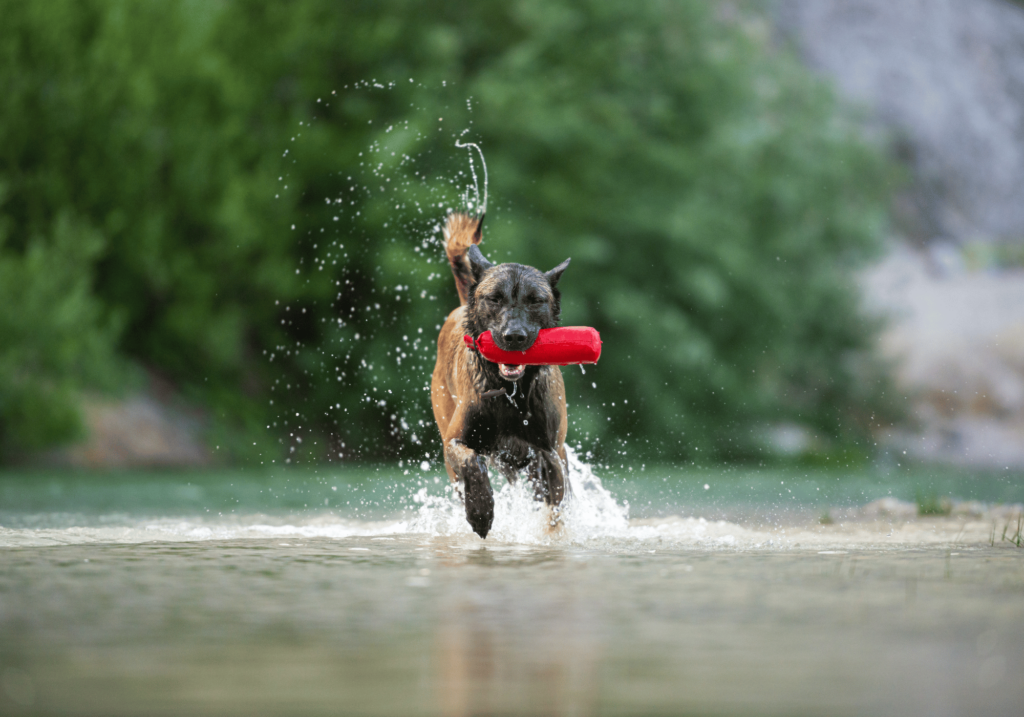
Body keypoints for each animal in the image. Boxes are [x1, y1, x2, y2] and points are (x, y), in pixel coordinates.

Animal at [430, 213, 573, 536]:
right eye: (494, 298)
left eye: (535, 300)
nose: (514, 337)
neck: (511, 394)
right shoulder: (454, 442)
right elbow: (471, 461)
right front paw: (481, 511)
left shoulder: (551, 452)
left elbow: (554, 505)